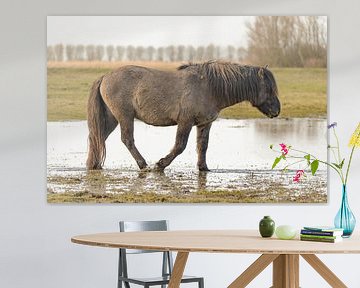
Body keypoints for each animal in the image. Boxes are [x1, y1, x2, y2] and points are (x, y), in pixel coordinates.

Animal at [86, 60, 280, 171]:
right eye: (268, 88)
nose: (277, 111)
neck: (209, 87)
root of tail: (105, 76)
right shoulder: (185, 122)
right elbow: (180, 146)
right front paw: (160, 164)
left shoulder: (204, 124)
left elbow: (203, 146)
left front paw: (203, 168)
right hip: (125, 117)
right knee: (127, 139)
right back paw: (143, 164)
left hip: (112, 118)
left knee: (97, 137)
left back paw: (93, 164)